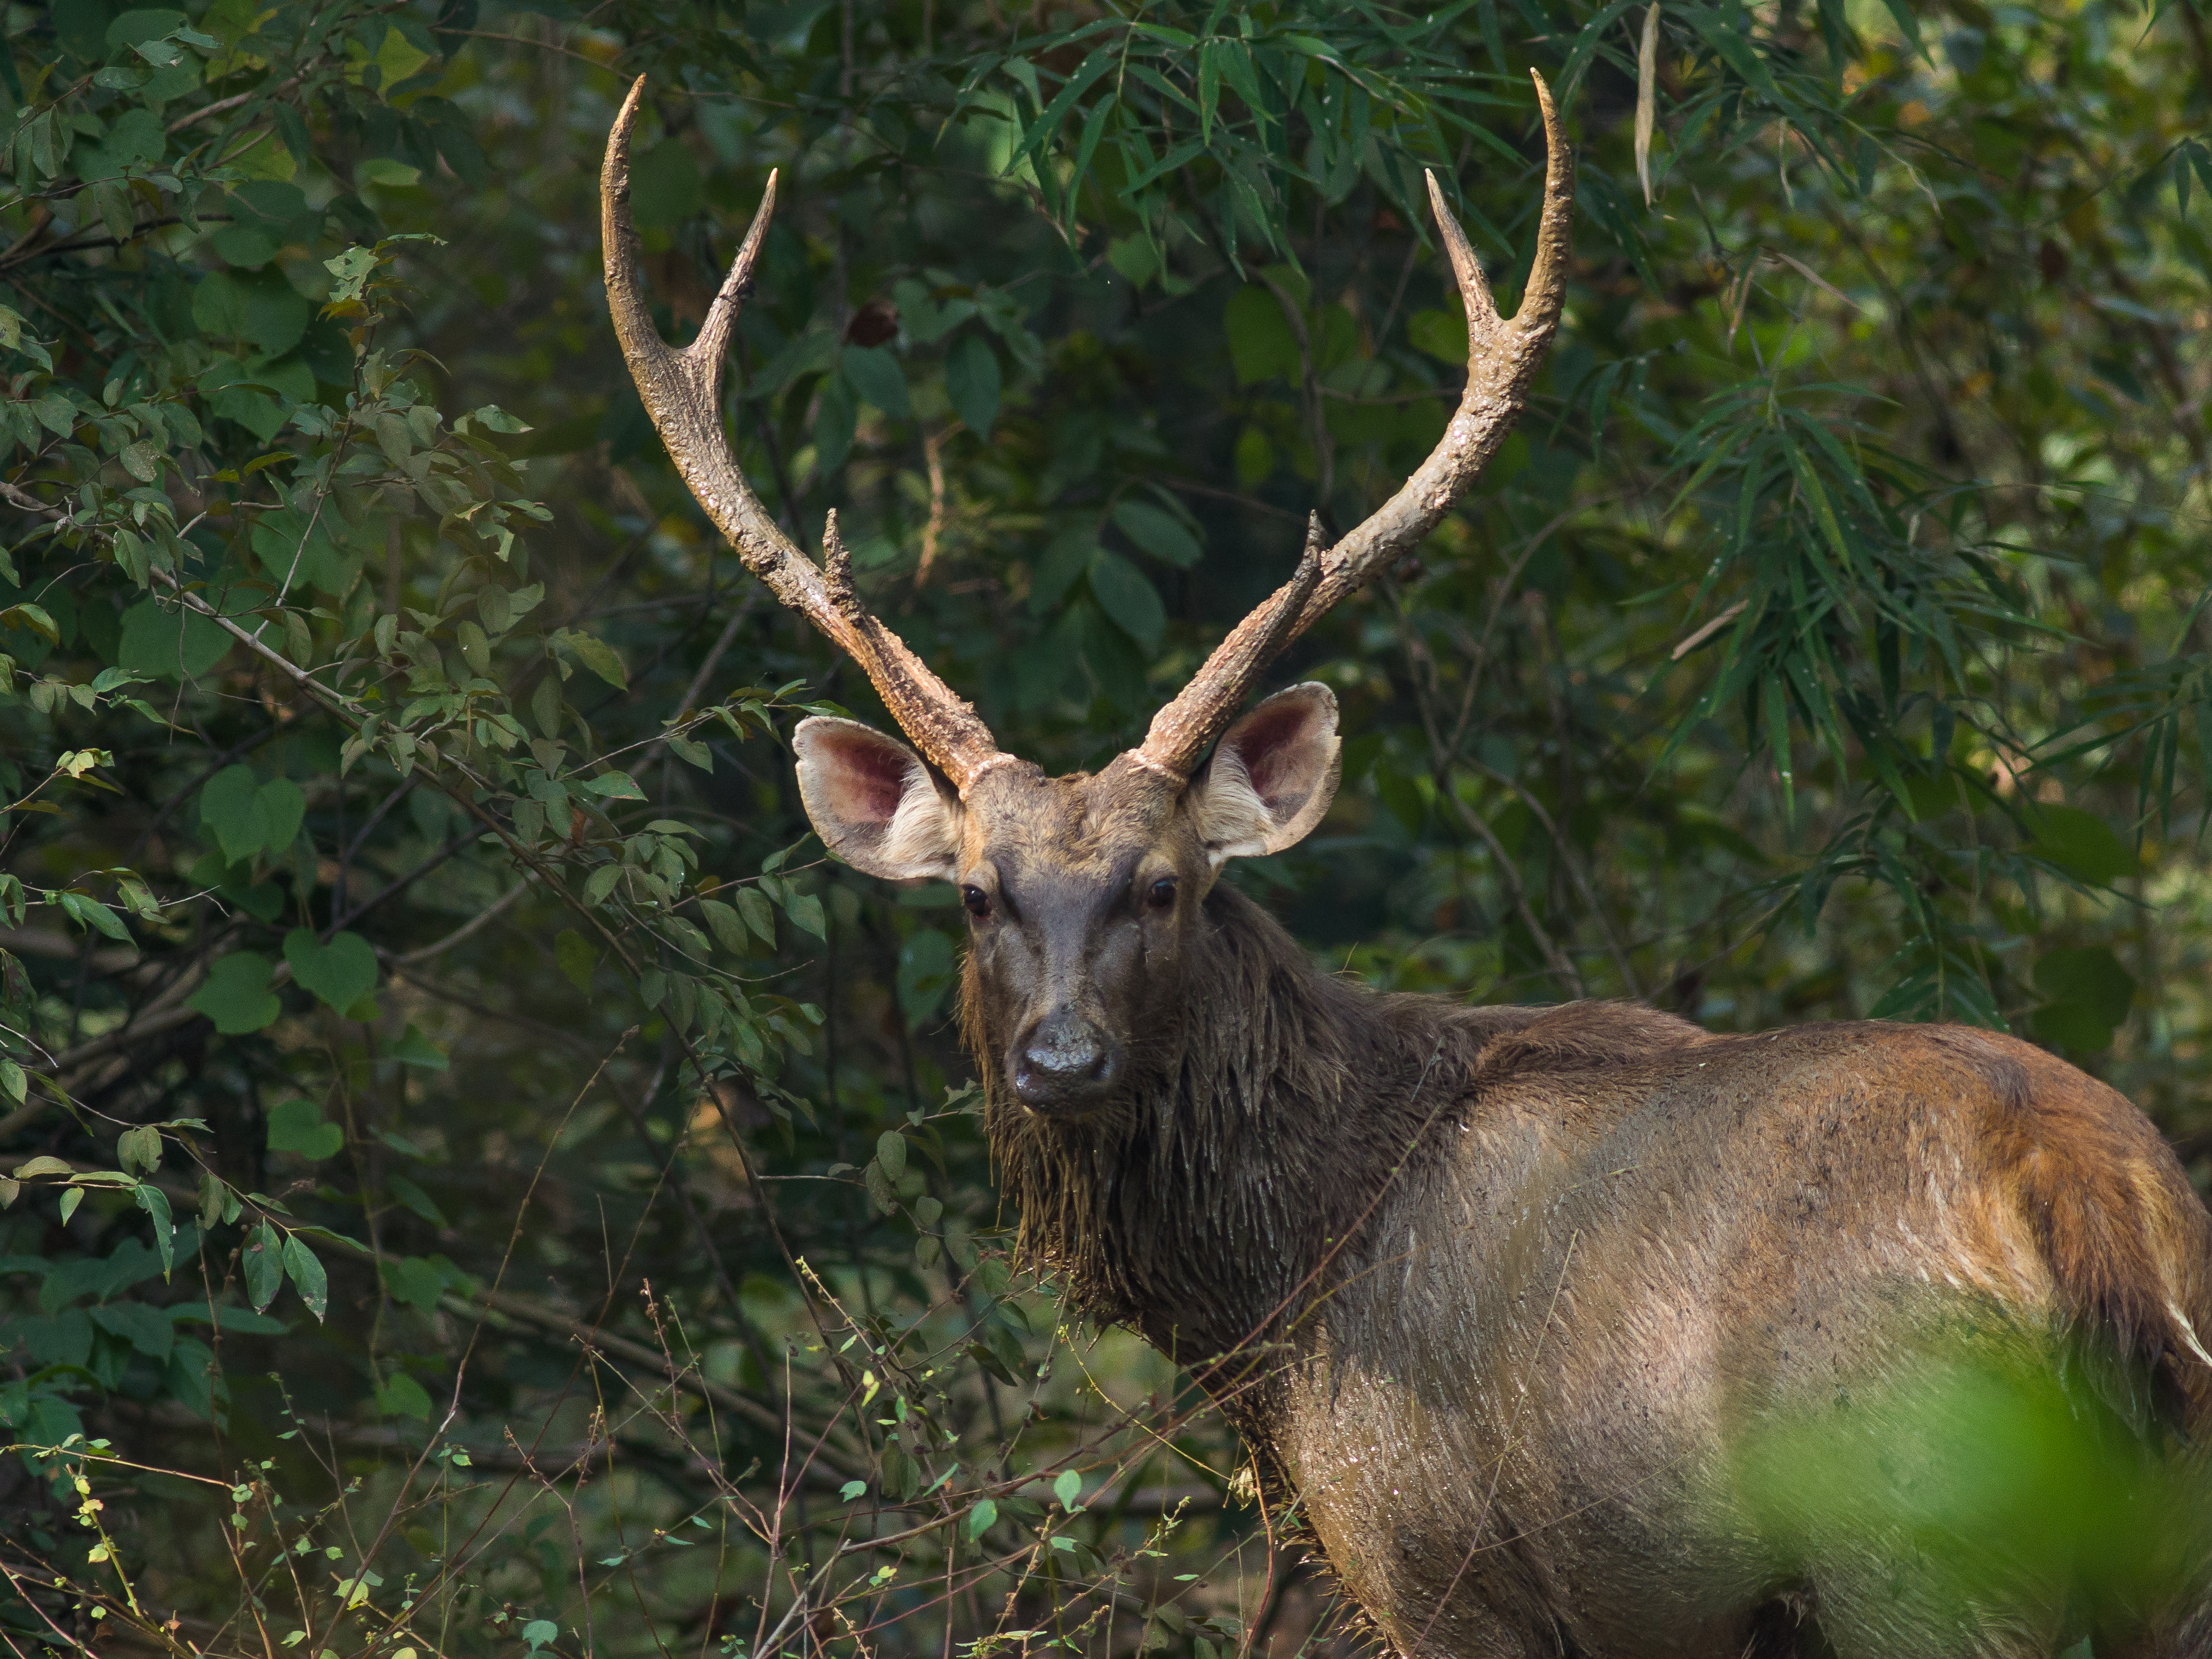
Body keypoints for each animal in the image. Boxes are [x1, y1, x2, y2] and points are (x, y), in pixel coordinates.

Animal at [606, 71, 2212, 1655]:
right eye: (976, 896)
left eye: (1167, 886)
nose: (1059, 1060)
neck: (1280, 1291)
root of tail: (2084, 1210)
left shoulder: (1440, 1563)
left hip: (1918, 1528)